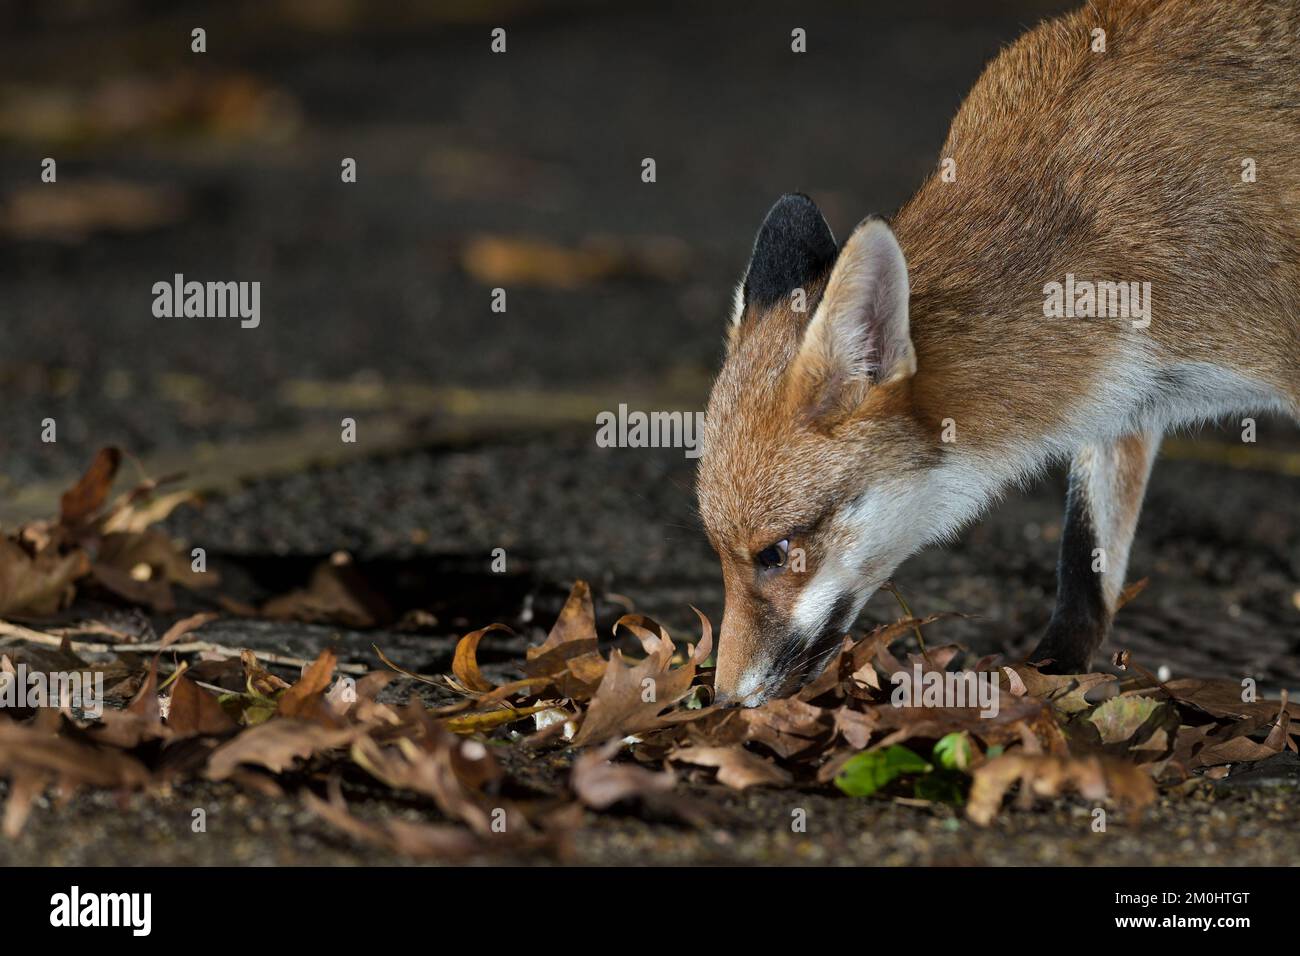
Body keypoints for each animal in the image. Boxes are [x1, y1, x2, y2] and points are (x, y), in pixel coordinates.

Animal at [696, 0, 1300, 707]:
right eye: (720, 552)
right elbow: (1083, 576)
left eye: (776, 552)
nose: (720, 700)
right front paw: (1050, 685)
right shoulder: (1125, 402)